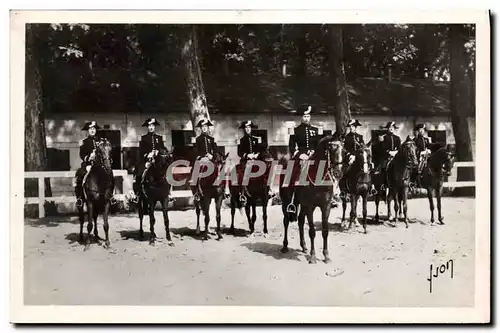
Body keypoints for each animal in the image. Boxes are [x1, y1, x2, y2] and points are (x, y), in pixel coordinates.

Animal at [280, 136, 346, 264]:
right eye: (331, 149)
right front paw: (313, 256)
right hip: (286, 201)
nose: (338, 173)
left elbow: (325, 231)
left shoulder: (326, 207)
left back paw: (304, 246)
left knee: (300, 220)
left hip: (303, 205)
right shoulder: (310, 206)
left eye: (343, 150)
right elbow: (312, 231)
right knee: (285, 221)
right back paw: (285, 246)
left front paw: (326, 256)